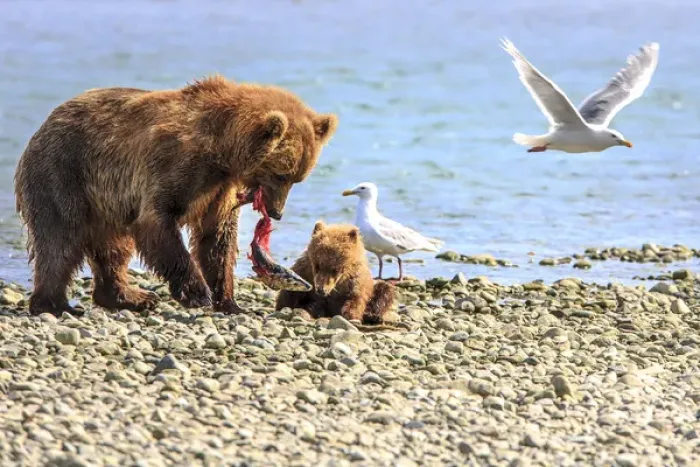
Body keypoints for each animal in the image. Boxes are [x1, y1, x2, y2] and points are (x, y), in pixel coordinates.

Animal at [14, 75, 338, 317]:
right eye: (281, 175)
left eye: (298, 178)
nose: (277, 212)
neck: (222, 150)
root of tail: (44, 124)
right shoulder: (176, 163)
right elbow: (157, 221)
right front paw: (197, 292)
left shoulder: (220, 190)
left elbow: (217, 240)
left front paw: (229, 301)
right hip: (64, 173)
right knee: (60, 241)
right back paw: (55, 304)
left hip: (105, 202)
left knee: (113, 248)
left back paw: (130, 296)